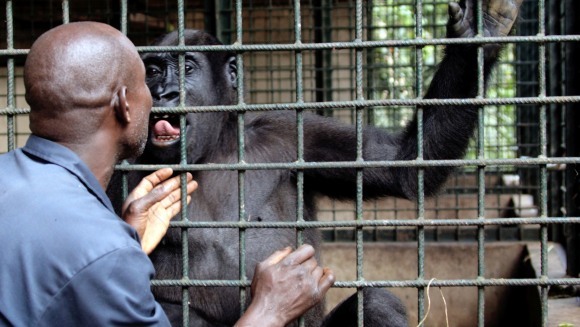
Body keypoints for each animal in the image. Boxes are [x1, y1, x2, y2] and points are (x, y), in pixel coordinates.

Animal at [106, 1, 524, 326]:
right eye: (153, 71)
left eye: (187, 67)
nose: (163, 91)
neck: (213, 151)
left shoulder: (294, 135)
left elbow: (402, 165)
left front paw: (476, 37)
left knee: (379, 305)